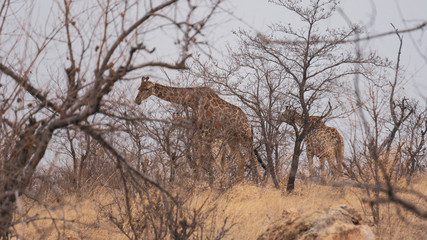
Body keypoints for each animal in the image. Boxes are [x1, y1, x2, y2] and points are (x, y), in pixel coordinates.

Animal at [134, 77, 262, 182]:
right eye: (139, 88)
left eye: (146, 88)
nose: (137, 100)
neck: (192, 99)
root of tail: (247, 121)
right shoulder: (202, 133)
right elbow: (202, 160)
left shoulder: (205, 132)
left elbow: (204, 160)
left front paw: (207, 185)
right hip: (232, 139)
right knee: (241, 160)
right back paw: (239, 184)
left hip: (245, 136)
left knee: (253, 158)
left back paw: (259, 183)